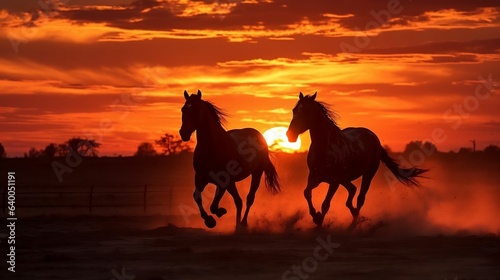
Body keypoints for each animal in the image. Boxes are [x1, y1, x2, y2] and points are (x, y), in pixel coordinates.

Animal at [180, 91, 282, 229]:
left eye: (195, 109)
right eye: (183, 109)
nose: (183, 133)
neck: (212, 147)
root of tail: (259, 135)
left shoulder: (225, 181)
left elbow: (214, 206)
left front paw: (218, 214)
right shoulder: (201, 178)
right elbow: (198, 197)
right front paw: (210, 220)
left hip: (257, 173)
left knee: (248, 199)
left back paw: (242, 224)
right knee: (239, 201)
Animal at [286, 92, 426, 228]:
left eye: (306, 111)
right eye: (294, 110)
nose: (290, 135)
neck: (325, 148)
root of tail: (374, 138)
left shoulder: (334, 182)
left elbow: (325, 204)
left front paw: (319, 222)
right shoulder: (314, 178)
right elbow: (307, 193)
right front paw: (315, 216)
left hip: (368, 175)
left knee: (360, 198)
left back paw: (353, 225)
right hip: (344, 179)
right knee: (352, 190)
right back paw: (353, 214)